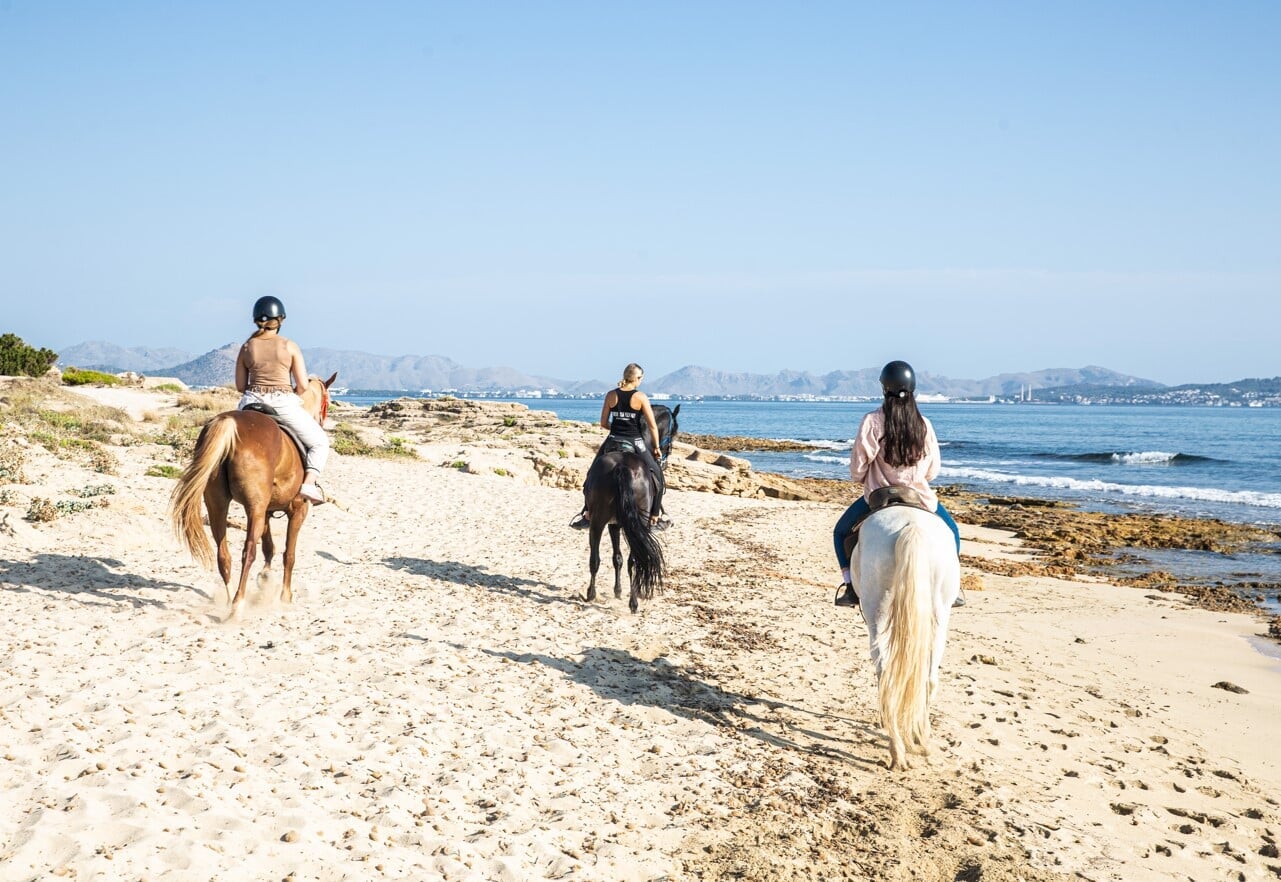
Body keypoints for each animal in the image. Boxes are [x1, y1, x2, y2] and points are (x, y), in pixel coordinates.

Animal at [169, 373, 336, 618]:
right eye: (328, 402)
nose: (322, 421)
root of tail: (229, 422)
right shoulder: (297, 510)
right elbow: (288, 554)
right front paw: (285, 596)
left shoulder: (266, 511)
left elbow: (269, 548)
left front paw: (265, 578)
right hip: (253, 510)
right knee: (248, 551)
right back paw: (238, 605)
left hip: (218, 505)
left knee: (224, 555)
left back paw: (230, 598)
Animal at [583, 403, 680, 613]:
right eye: (674, 432)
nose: (664, 461)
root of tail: (622, 467)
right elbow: (624, 559)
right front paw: (622, 592)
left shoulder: (614, 524)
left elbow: (617, 558)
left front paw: (617, 591)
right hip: (637, 523)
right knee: (634, 560)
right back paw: (630, 601)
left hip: (598, 521)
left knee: (596, 559)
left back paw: (592, 595)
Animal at [851, 504, 961, 770]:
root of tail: (912, 525)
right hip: (939, 615)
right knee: (928, 677)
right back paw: (915, 739)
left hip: (876, 611)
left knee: (884, 672)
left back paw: (899, 746)